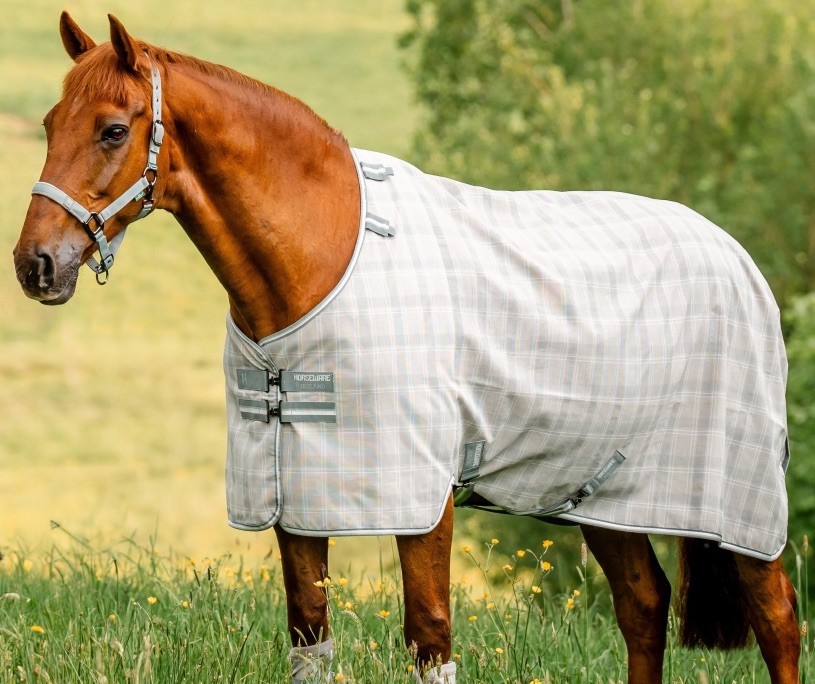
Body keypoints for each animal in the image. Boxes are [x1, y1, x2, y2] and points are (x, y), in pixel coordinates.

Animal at [13, 13, 800, 683]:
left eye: (114, 130)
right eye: (50, 123)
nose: (34, 265)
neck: (324, 258)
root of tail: (734, 253)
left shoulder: (422, 500)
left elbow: (429, 640)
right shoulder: (298, 495)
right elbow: (310, 639)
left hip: (740, 502)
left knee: (777, 619)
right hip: (601, 488)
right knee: (642, 605)